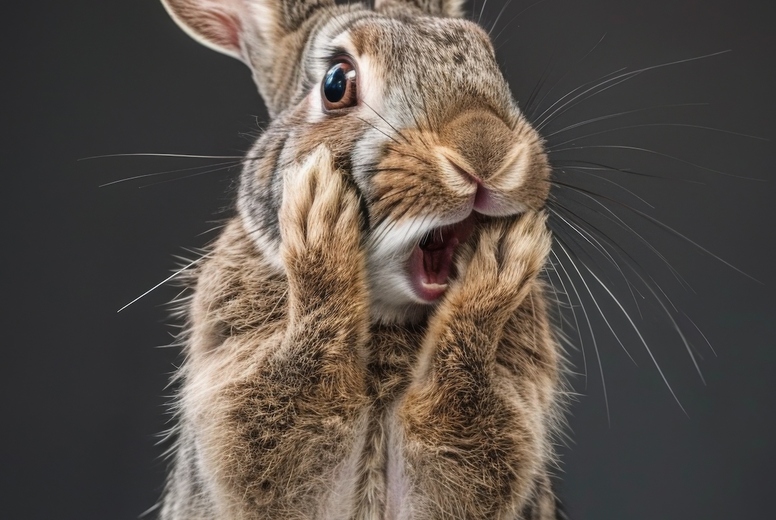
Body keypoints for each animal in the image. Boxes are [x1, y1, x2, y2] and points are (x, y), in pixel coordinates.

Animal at [157, 0, 566, 518]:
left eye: (492, 63)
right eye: (336, 83)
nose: (486, 152)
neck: (387, 318)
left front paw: (504, 258)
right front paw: (319, 212)